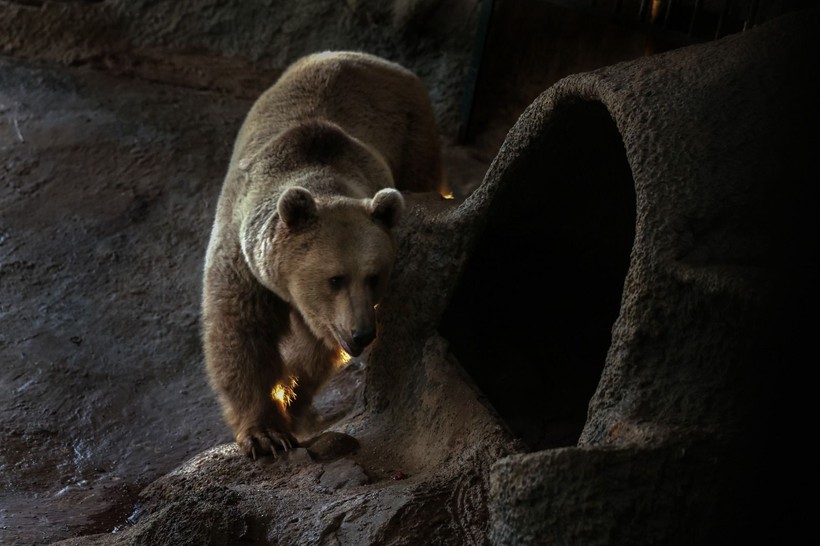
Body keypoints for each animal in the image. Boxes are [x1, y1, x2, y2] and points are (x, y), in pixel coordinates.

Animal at [203, 52, 446, 460]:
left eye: (374, 276)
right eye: (335, 278)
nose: (362, 333)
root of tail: (367, 57)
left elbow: (313, 352)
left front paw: (293, 403)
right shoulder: (243, 259)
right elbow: (241, 333)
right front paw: (266, 433)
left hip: (414, 134)